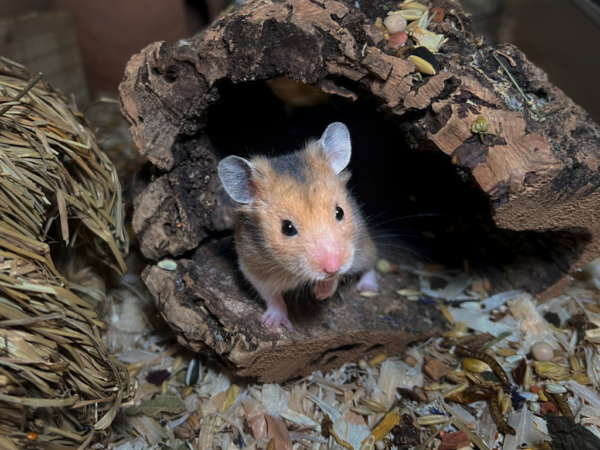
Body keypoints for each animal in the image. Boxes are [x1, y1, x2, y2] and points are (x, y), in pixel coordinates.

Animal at [219, 122, 380, 330]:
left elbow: (336, 278)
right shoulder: (253, 268)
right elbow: (272, 297)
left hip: (364, 245)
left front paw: (321, 293)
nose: (332, 267)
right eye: (287, 228)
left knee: (371, 263)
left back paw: (369, 287)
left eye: (340, 212)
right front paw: (273, 324)